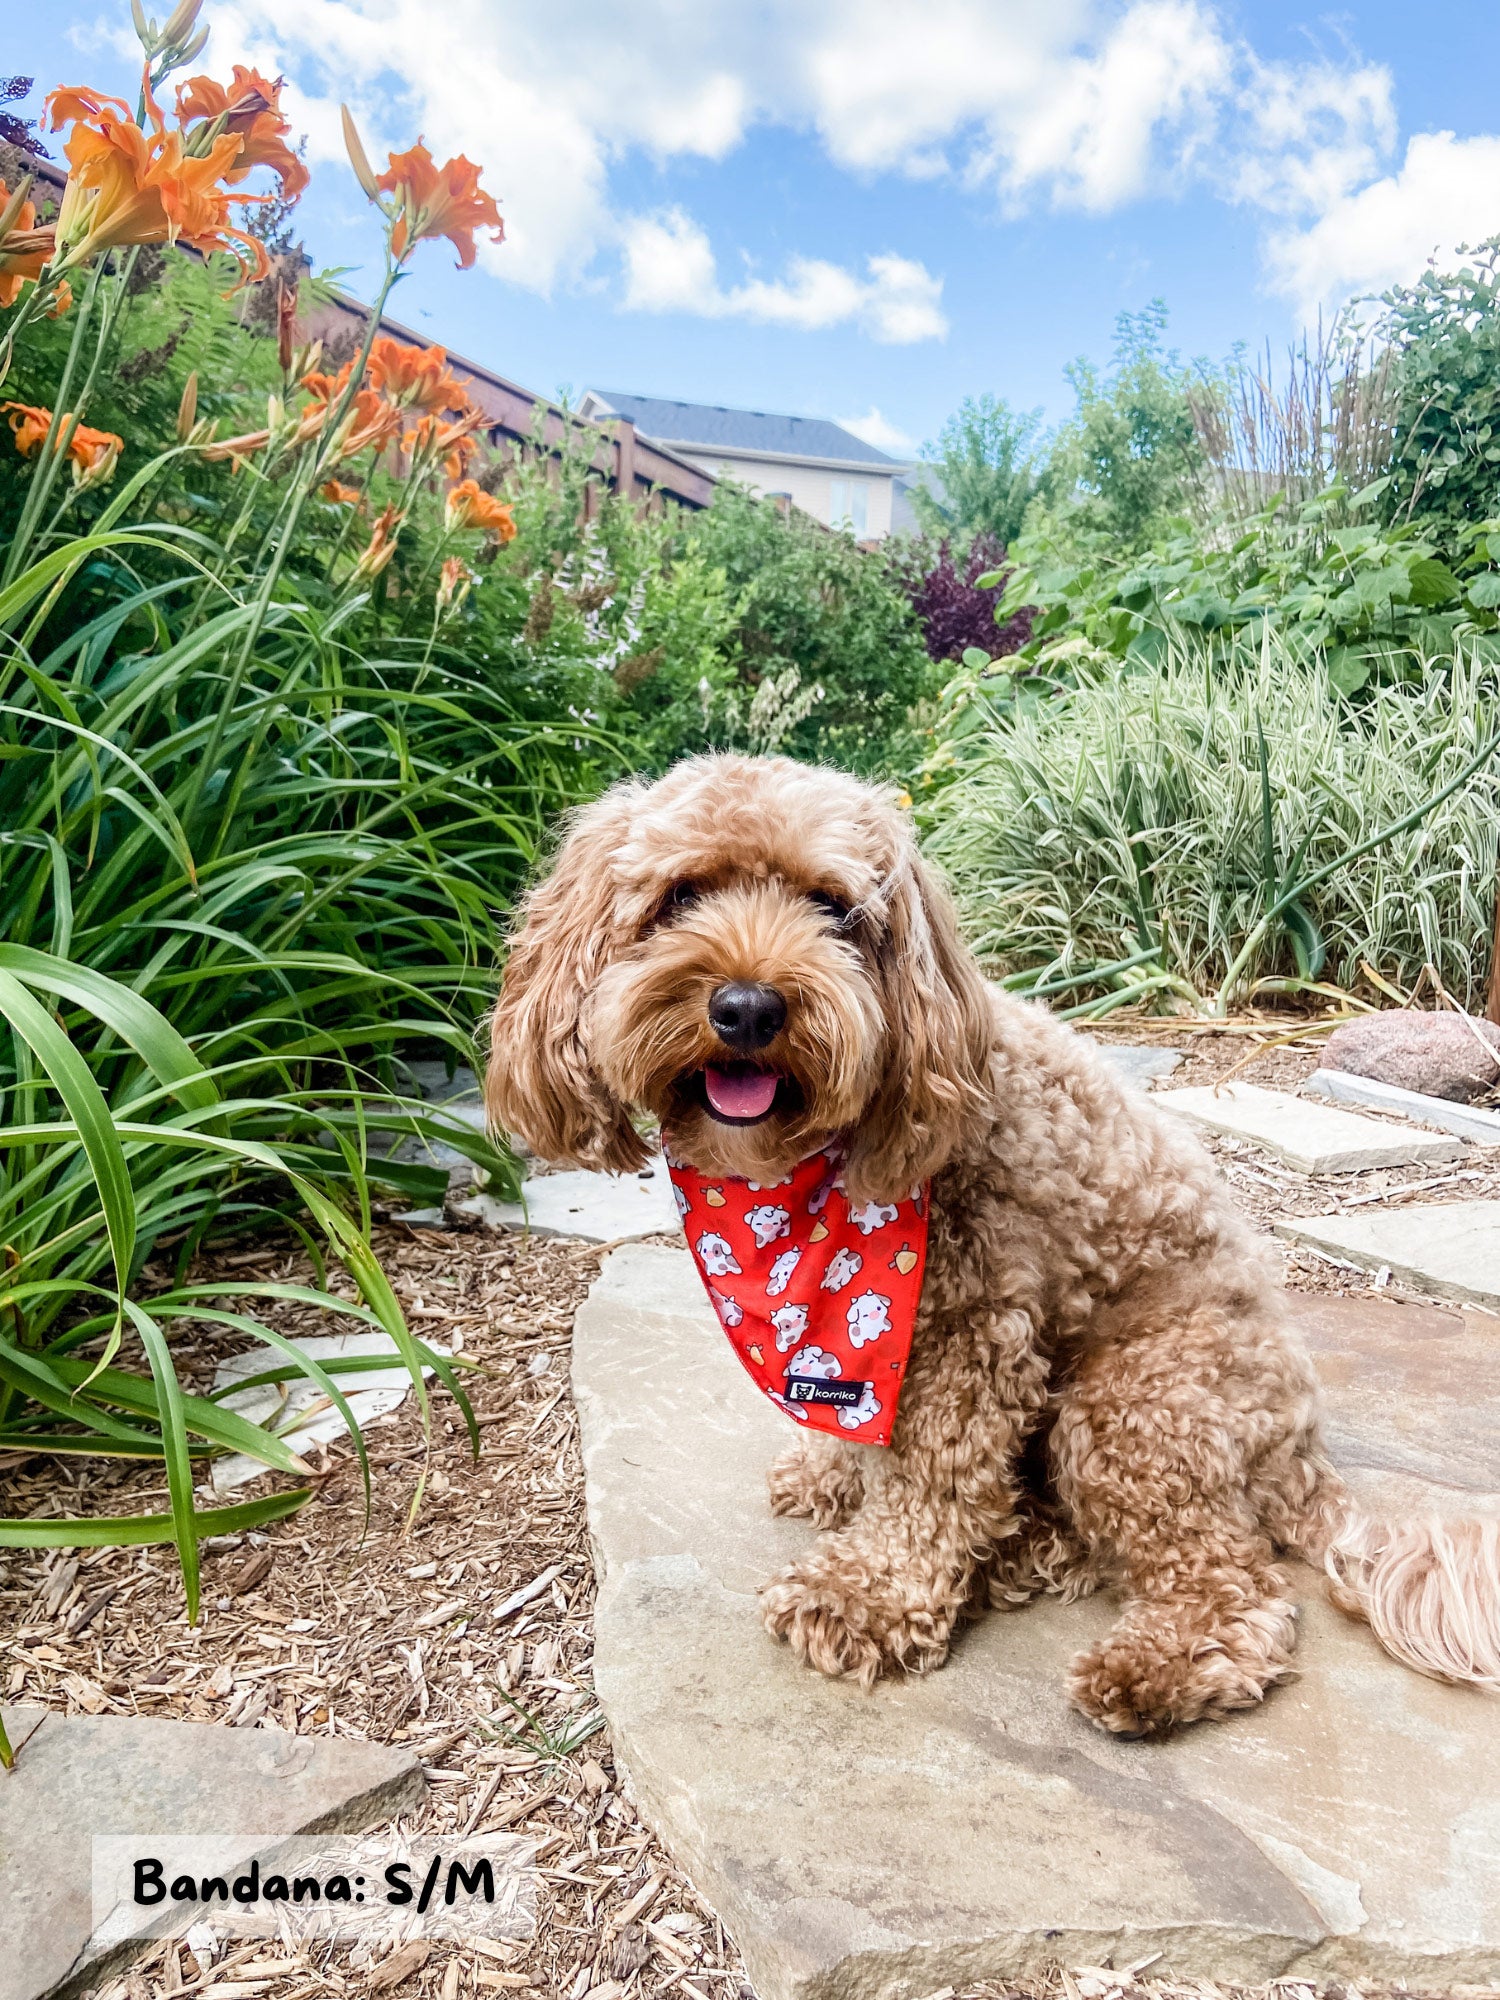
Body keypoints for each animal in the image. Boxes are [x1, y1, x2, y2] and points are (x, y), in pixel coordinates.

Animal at [488, 752, 1496, 1736]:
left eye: (832, 907)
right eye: (681, 896)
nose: (746, 1008)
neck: (792, 1187)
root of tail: (1304, 1460)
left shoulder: (966, 1331)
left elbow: (932, 1481)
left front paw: (869, 1596)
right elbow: (866, 1438)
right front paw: (835, 1473)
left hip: (1136, 1408)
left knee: (1229, 1582)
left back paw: (1150, 1666)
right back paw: (1019, 1550)